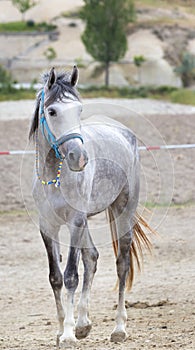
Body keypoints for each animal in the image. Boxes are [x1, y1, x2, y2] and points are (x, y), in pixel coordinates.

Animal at [29, 65, 153, 348]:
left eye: (79, 110)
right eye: (52, 111)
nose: (79, 158)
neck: (55, 177)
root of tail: (123, 132)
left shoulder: (75, 222)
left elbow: (70, 276)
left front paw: (67, 334)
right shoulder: (48, 226)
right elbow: (56, 277)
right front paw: (63, 329)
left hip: (123, 212)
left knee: (122, 264)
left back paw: (119, 329)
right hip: (87, 220)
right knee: (92, 257)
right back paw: (84, 324)